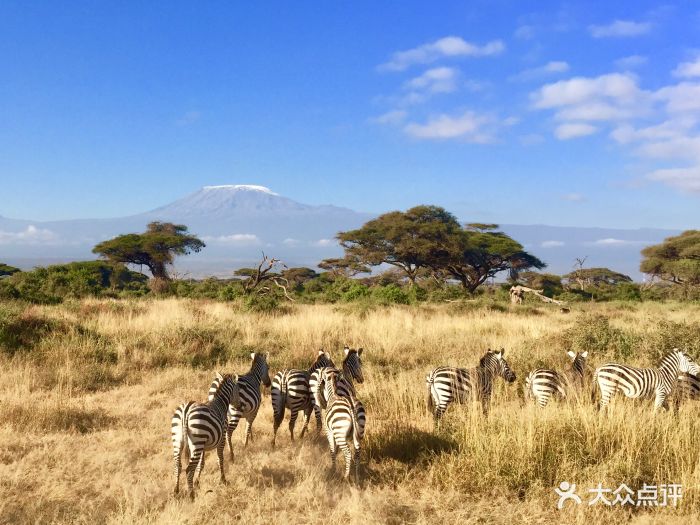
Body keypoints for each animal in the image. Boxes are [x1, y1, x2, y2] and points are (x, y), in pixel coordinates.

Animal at [172, 370, 241, 498]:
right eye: (238, 389)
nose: (239, 406)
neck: (221, 403)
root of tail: (186, 410)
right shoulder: (222, 437)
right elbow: (220, 458)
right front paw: (223, 480)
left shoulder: (203, 445)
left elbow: (201, 464)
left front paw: (197, 482)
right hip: (196, 442)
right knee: (188, 469)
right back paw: (191, 495)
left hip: (179, 440)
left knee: (178, 465)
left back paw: (176, 490)